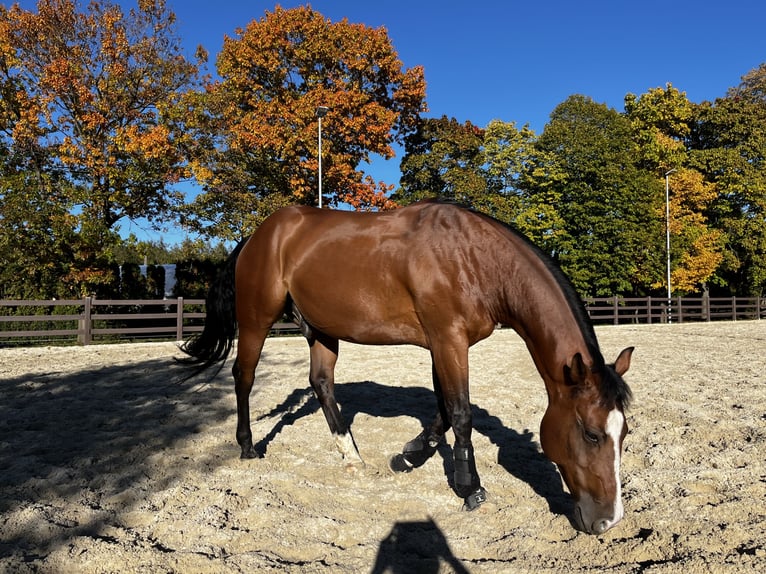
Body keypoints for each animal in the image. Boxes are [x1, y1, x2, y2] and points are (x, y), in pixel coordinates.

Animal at [181, 199, 634, 535]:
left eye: (625, 433)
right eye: (592, 434)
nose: (608, 521)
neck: (473, 257)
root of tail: (259, 234)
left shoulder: (442, 345)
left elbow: (444, 411)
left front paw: (410, 456)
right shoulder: (448, 341)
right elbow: (460, 413)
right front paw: (470, 488)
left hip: (322, 330)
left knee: (321, 383)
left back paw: (351, 455)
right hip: (257, 320)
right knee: (244, 376)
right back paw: (246, 446)